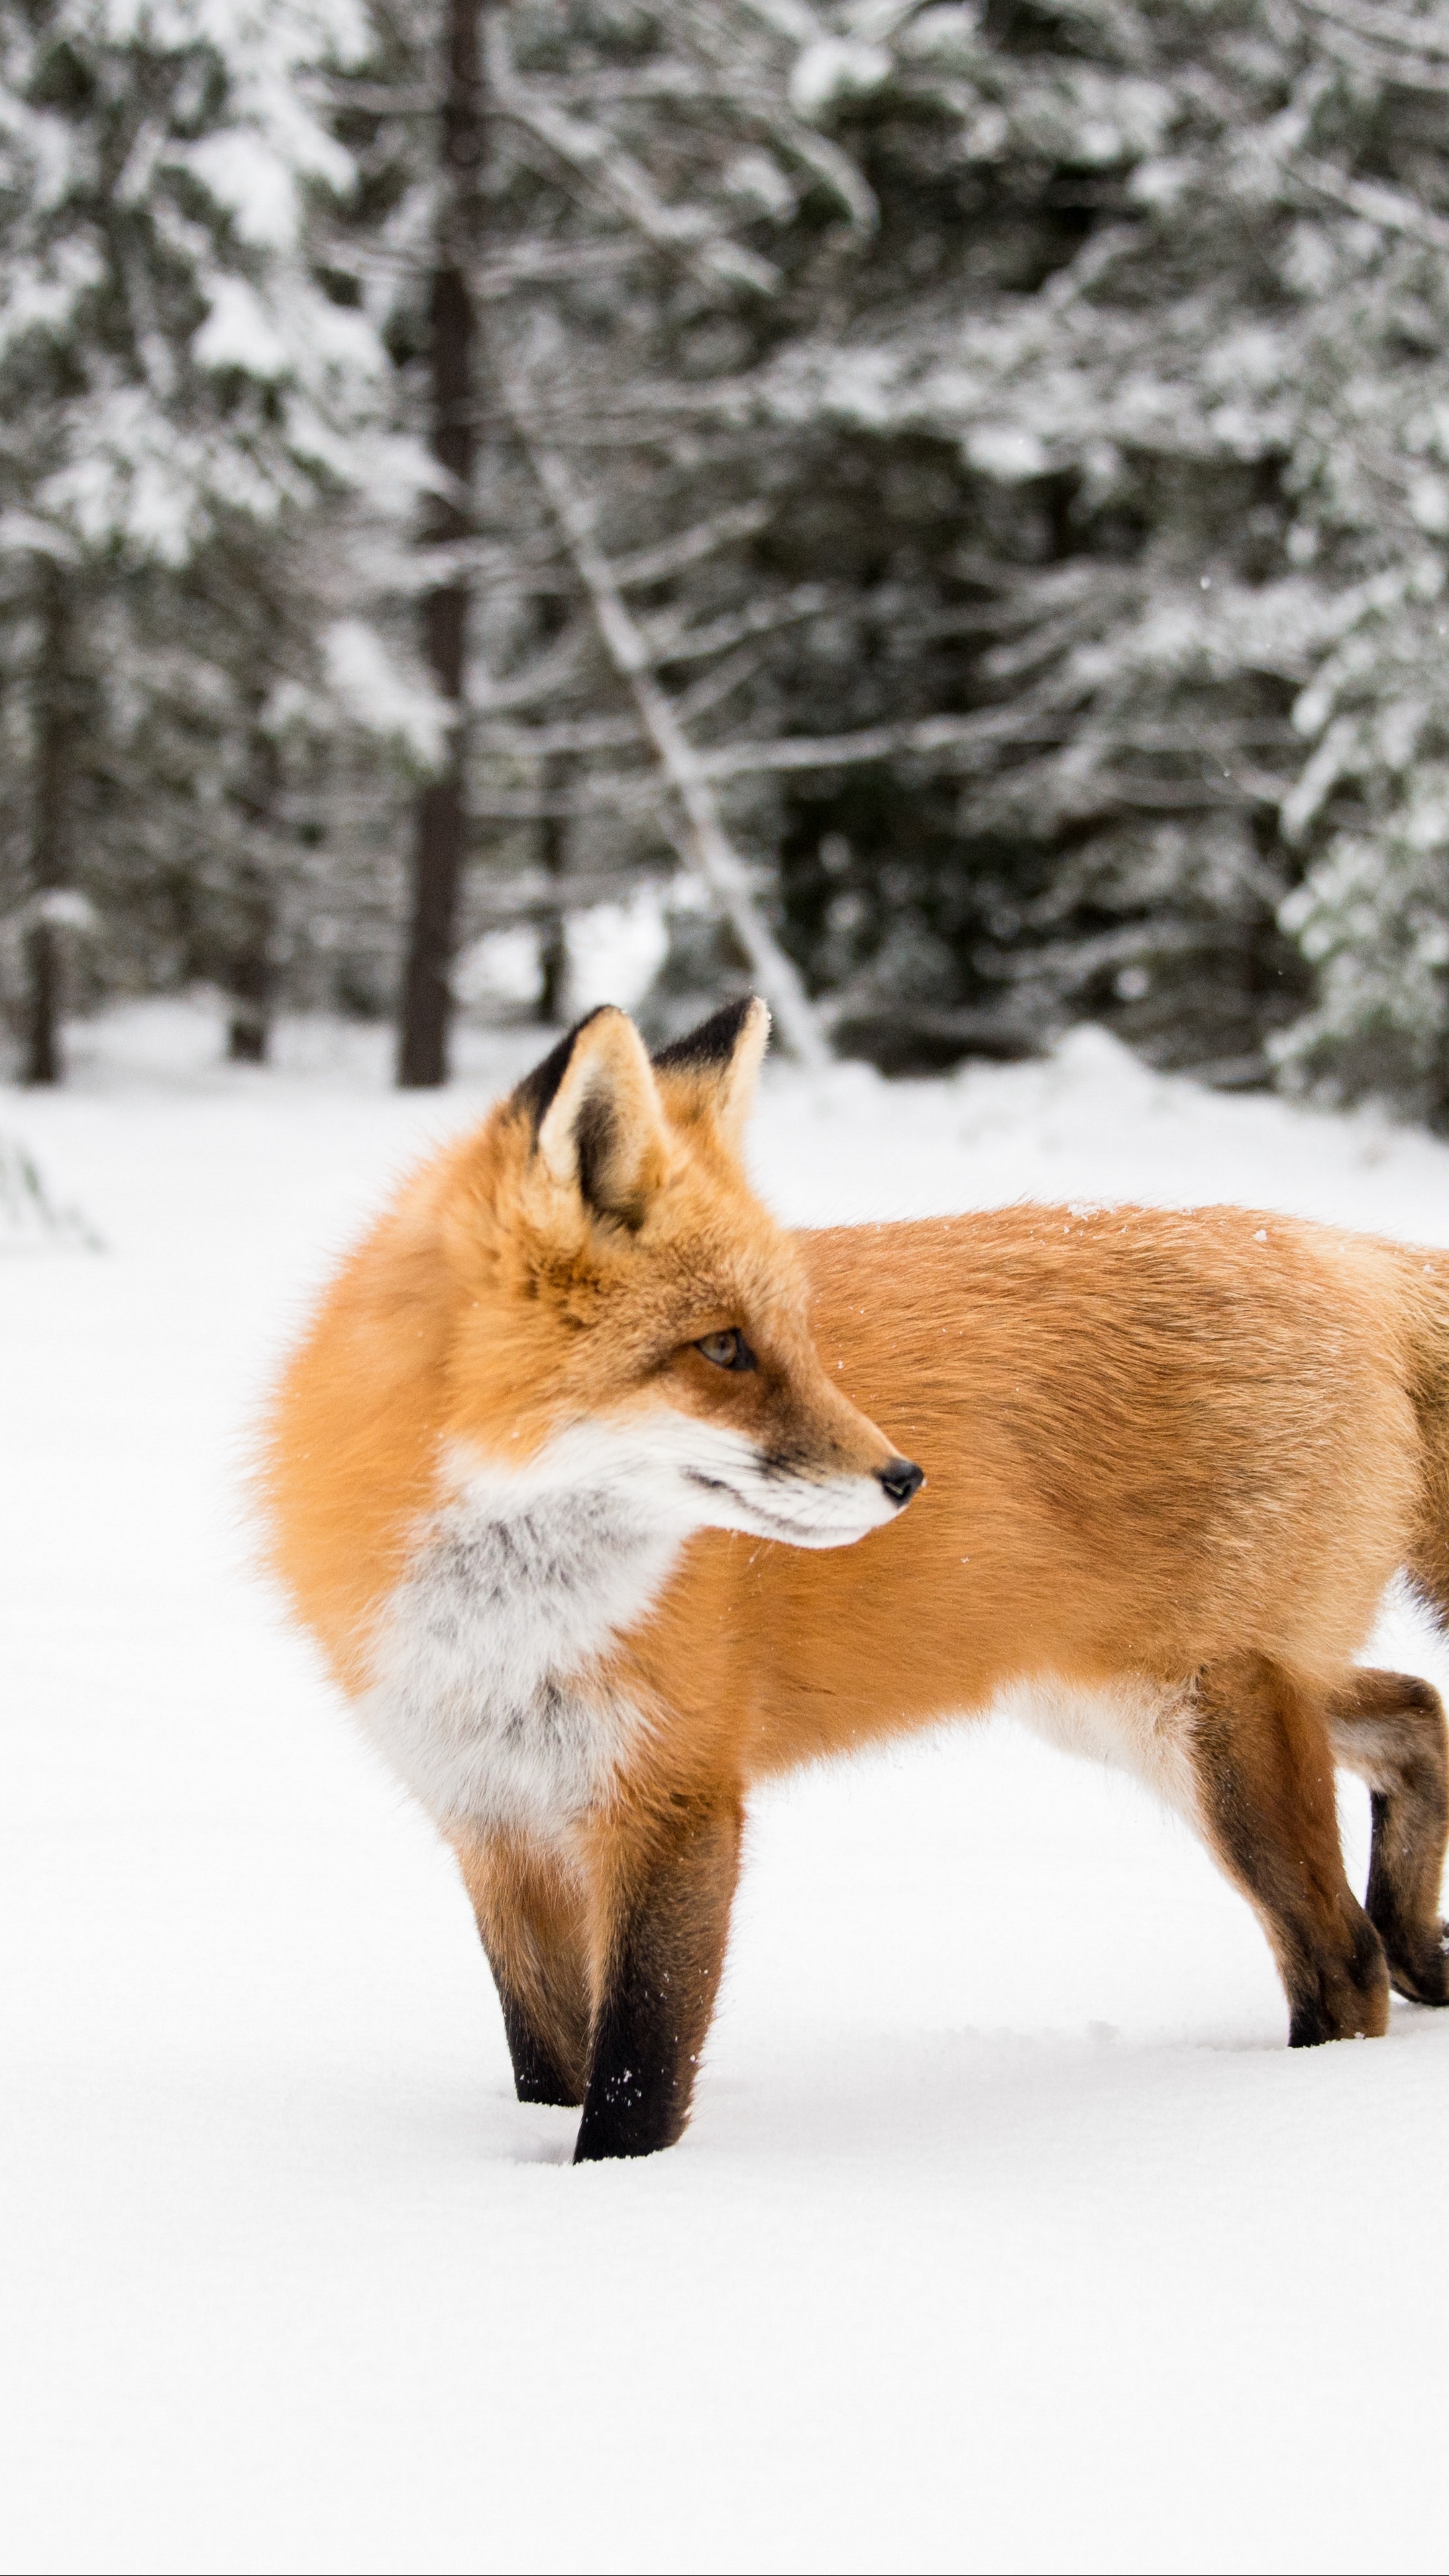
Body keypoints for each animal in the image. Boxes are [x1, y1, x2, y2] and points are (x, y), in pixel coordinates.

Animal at [262, 994, 1444, 2163]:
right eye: (724, 1348)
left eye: (797, 1337)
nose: (906, 1478)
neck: (506, 1629)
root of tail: (1332, 1246)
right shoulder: (493, 1823)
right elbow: (546, 2069)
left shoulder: (674, 1804)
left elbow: (634, 2079)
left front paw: (619, 2195)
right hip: (1116, 1705)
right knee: (1415, 1710)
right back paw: (1418, 1946)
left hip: (1205, 1722)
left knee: (1341, 1958)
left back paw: (1299, 2091)